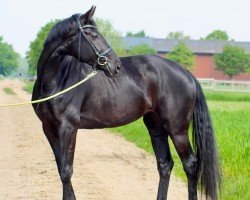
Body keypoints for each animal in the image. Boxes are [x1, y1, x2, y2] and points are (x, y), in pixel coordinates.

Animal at [31, 5, 221, 200]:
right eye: (93, 35)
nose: (116, 65)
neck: (57, 80)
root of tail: (187, 73)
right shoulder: (49, 128)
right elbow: (61, 169)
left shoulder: (68, 128)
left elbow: (66, 171)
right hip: (156, 127)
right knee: (165, 164)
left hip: (177, 130)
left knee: (190, 165)